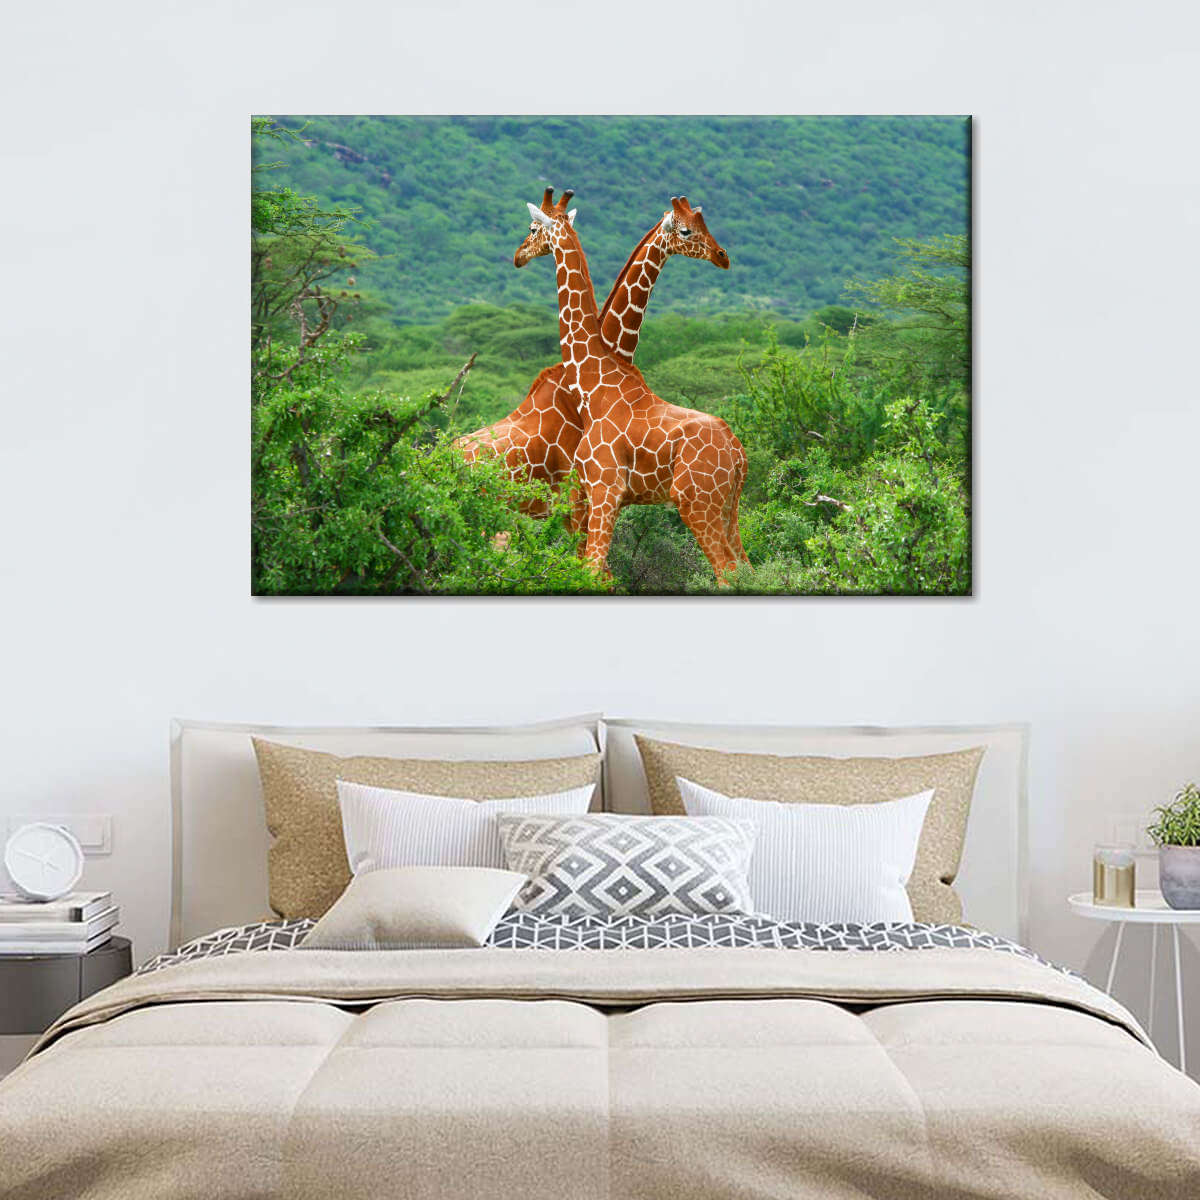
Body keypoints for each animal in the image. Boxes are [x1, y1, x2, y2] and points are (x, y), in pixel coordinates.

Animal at [527, 195, 748, 580]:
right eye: (687, 229)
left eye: (533, 228)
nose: (723, 256)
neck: (593, 386)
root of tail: (737, 454)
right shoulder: (591, 496)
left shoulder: (603, 489)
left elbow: (592, 571)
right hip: (728, 508)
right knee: (748, 568)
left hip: (696, 502)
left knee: (727, 572)